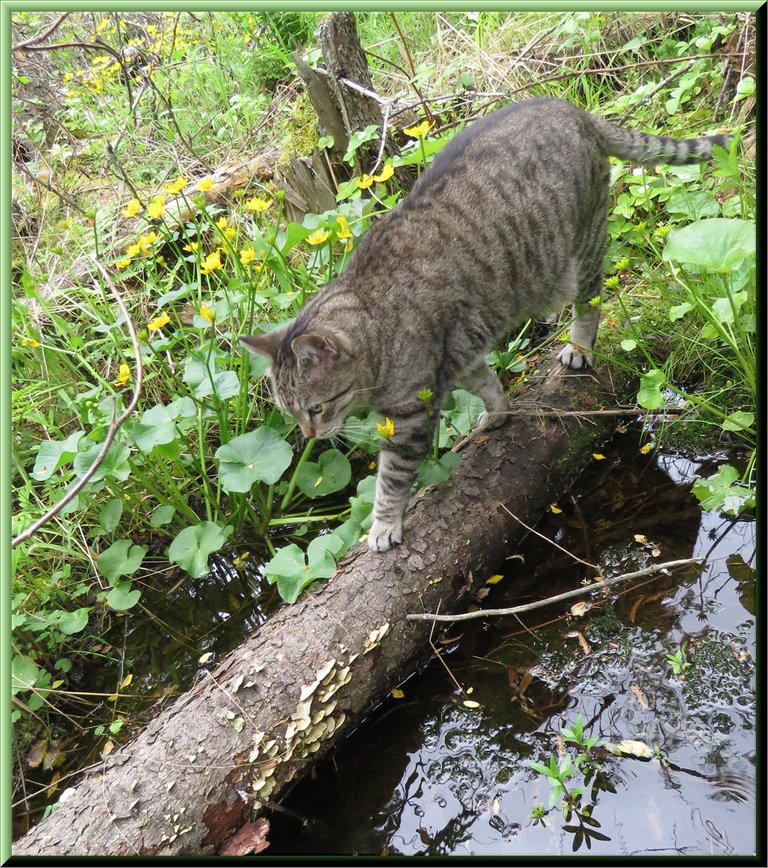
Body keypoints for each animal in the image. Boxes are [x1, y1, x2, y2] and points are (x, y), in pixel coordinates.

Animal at [242, 98, 728, 552]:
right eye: (290, 413)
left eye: (315, 409)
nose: (309, 435)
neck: (374, 317)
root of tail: (573, 110)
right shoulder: (457, 357)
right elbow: (487, 383)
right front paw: (497, 413)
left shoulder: (410, 415)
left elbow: (390, 480)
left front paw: (381, 526)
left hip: (580, 254)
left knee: (591, 300)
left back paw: (580, 346)